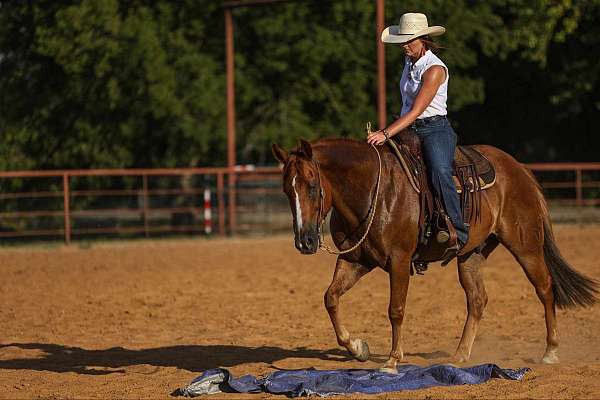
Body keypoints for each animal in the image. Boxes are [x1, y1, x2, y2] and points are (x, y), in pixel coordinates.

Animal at [272, 138, 596, 372]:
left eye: (312, 186)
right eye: (287, 191)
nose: (305, 241)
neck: (374, 191)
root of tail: (518, 168)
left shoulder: (399, 261)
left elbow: (396, 309)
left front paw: (392, 360)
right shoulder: (356, 260)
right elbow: (331, 297)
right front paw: (358, 348)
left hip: (525, 245)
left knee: (545, 288)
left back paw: (550, 351)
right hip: (472, 255)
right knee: (477, 300)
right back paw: (460, 354)